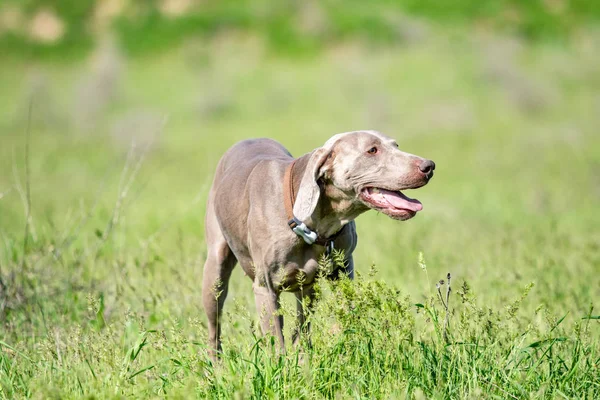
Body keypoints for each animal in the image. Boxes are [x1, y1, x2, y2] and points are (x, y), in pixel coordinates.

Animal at [204, 130, 434, 354]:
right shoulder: (265, 288)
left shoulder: (340, 272)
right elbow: (276, 343)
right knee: (214, 326)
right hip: (215, 272)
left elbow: (338, 316)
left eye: (396, 146)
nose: (429, 166)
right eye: (372, 150)